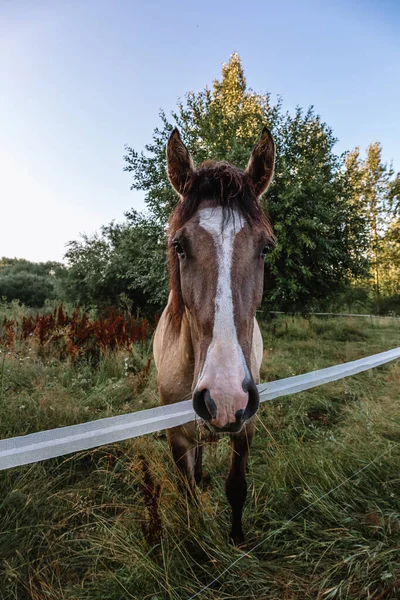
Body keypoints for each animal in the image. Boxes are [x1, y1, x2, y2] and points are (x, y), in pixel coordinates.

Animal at [153, 125, 276, 544]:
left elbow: (237, 487)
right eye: (179, 245)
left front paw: (237, 540)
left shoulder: (247, 427)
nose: (225, 397)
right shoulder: (176, 436)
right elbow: (187, 491)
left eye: (266, 248)